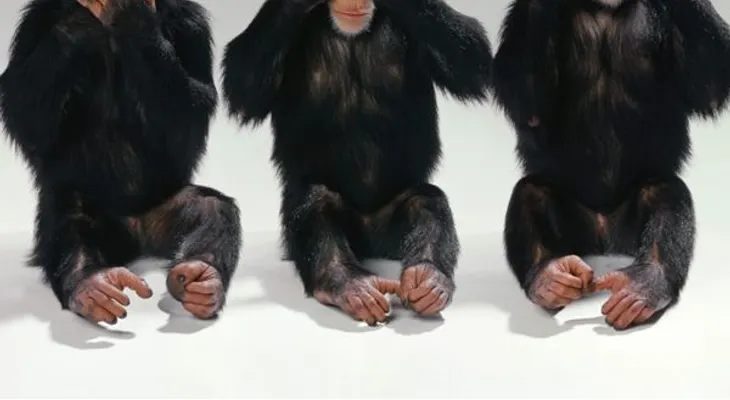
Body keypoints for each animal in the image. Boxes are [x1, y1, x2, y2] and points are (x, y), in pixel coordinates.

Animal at [0, 0, 242, 325]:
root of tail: (135, 234)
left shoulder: (191, 25)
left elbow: (194, 108)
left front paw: (133, 15)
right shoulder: (34, 24)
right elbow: (20, 109)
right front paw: (78, 20)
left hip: (161, 212)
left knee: (212, 208)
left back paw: (203, 276)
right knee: (69, 216)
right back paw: (90, 283)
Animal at [221, 0, 491, 326]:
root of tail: (370, 239)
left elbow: (472, 61)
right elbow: (243, 86)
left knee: (427, 201)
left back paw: (428, 278)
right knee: (315, 201)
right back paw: (347, 284)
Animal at [492, 0, 730, 330]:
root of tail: (604, 235)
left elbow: (708, 88)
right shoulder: (518, 22)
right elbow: (529, 108)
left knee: (666, 192)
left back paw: (646, 284)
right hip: (573, 226)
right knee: (531, 192)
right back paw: (547, 276)